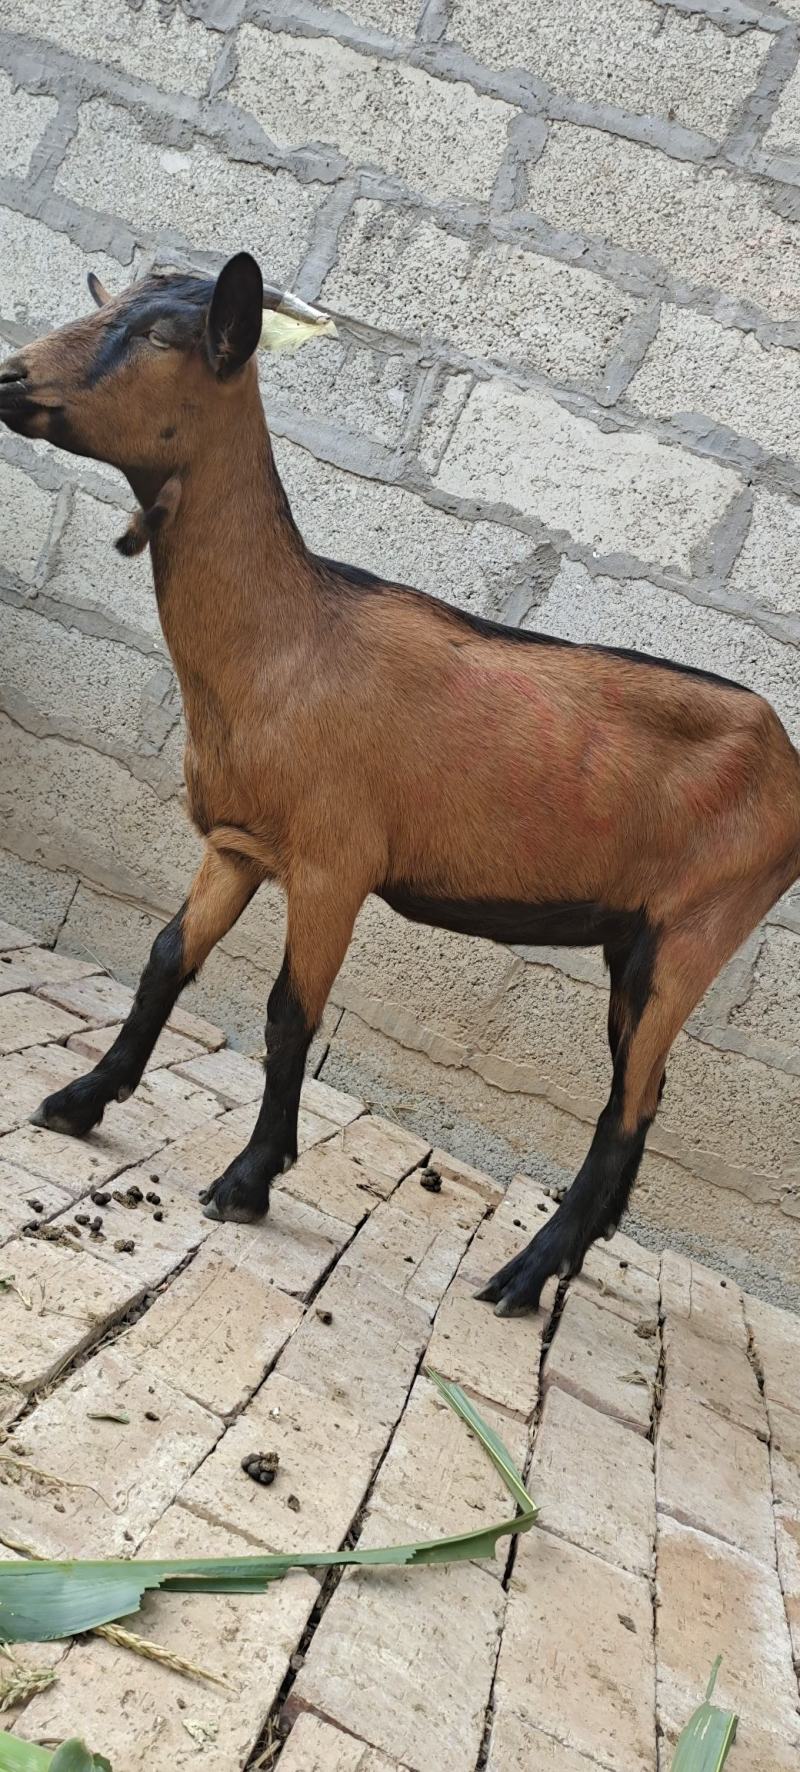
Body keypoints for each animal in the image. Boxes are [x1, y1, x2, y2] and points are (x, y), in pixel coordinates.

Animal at [1, 251, 798, 1318]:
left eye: (167, 335)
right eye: (109, 301)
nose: (9, 378)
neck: (287, 641)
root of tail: (789, 760)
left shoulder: (334, 865)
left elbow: (289, 1015)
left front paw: (247, 1182)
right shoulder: (238, 845)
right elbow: (168, 958)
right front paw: (80, 1099)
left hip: (697, 933)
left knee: (623, 1114)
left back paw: (520, 1278)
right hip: (638, 944)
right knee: (647, 1098)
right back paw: (570, 1264)